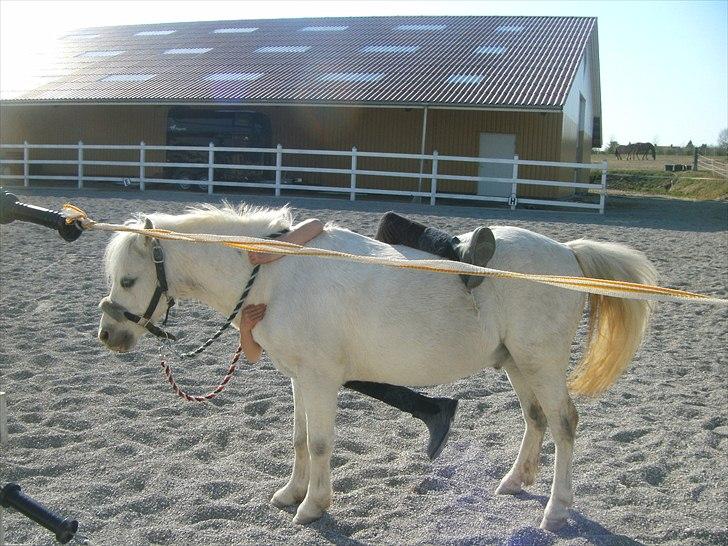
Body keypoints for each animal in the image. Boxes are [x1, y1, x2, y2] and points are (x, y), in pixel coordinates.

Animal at [95, 203, 656, 528]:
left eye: (128, 280)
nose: (108, 336)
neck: (276, 270)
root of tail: (568, 253)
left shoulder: (321, 379)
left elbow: (320, 444)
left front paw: (313, 507)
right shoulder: (301, 377)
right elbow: (300, 440)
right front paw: (289, 494)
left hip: (542, 363)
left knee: (564, 423)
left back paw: (556, 511)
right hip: (518, 364)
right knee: (535, 420)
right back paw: (514, 482)